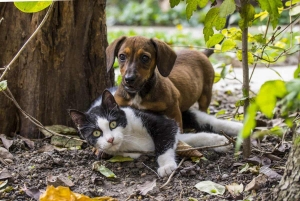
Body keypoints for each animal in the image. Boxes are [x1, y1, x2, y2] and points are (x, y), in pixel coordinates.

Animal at [69, 88, 243, 177]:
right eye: (96, 133)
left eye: (113, 123)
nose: (110, 139)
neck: (128, 137)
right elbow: (188, 138)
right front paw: (218, 141)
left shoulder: (161, 122)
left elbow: (165, 141)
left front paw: (166, 166)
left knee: (209, 120)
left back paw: (241, 128)